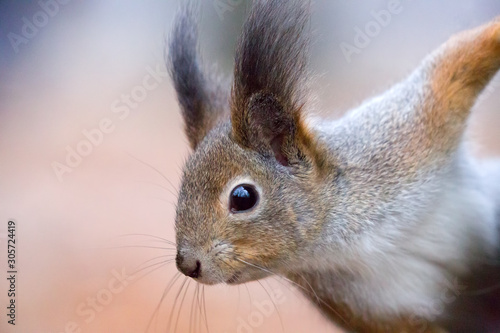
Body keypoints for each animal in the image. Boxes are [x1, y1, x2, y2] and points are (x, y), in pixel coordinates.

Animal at [168, 1, 500, 330]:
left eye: (242, 197)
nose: (187, 264)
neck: (337, 244)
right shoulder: (374, 311)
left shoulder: (407, 130)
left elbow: (455, 64)